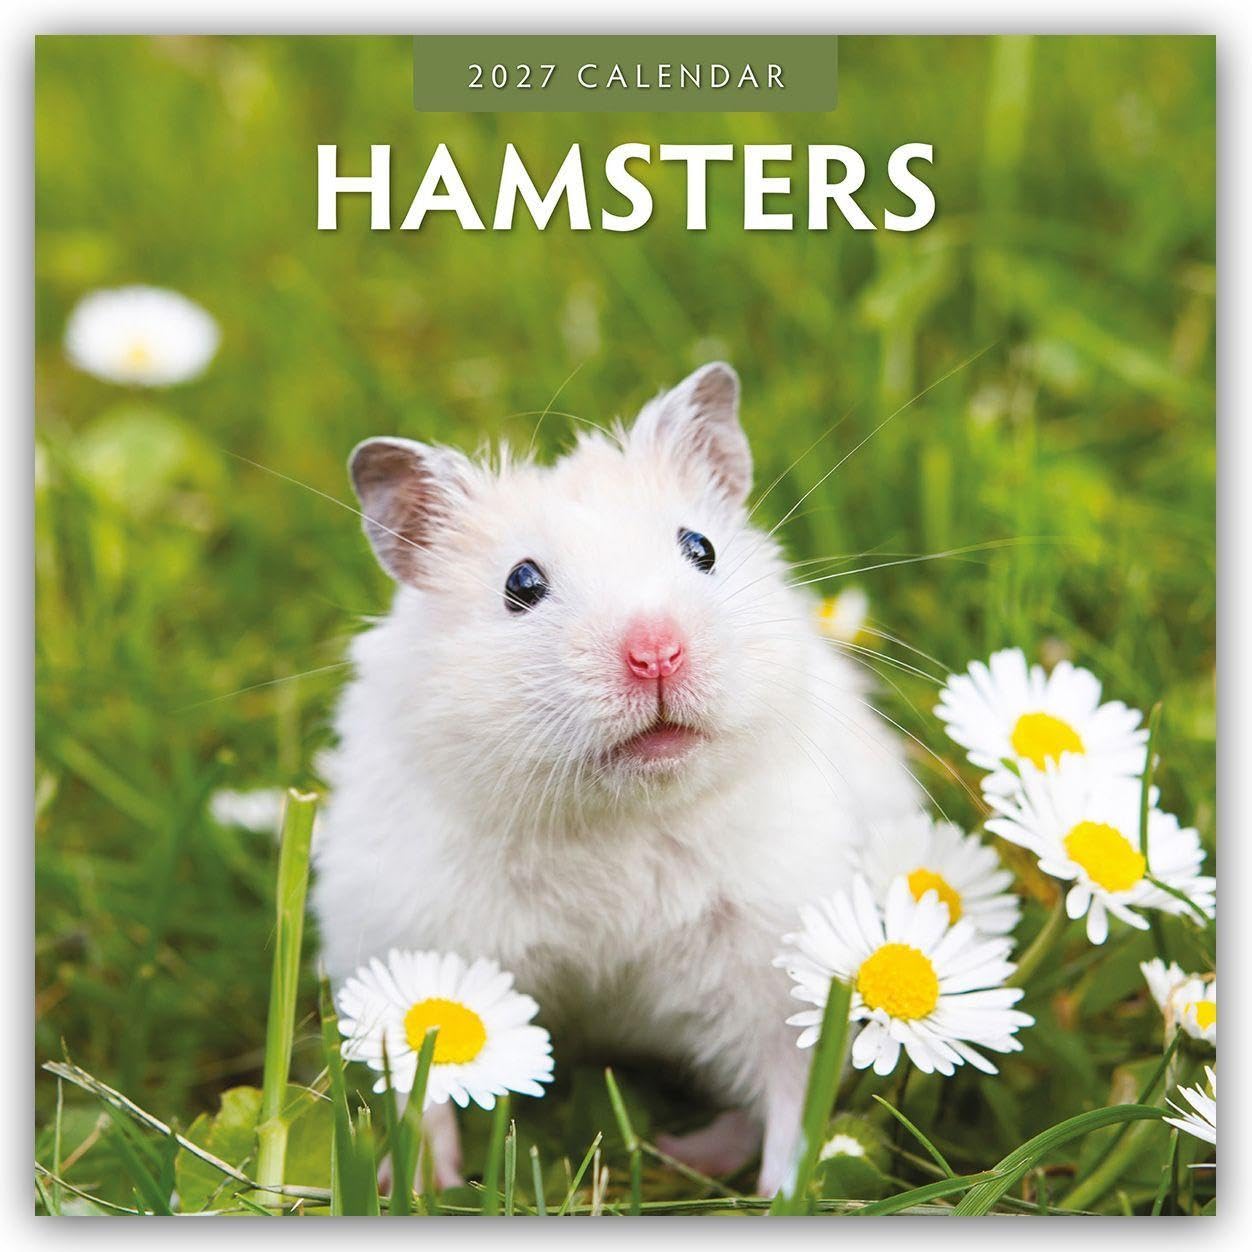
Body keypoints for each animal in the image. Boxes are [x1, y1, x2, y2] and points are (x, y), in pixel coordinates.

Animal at [312, 363, 920, 1194]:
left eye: (701, 548)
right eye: (521, 583)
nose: (657, 652)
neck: (616, 816)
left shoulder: (776, 962)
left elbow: (795, 1092)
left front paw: (781, 1194)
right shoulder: (408, 940)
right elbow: (420, 1084)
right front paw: (421, 1185)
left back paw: (685, 1152)